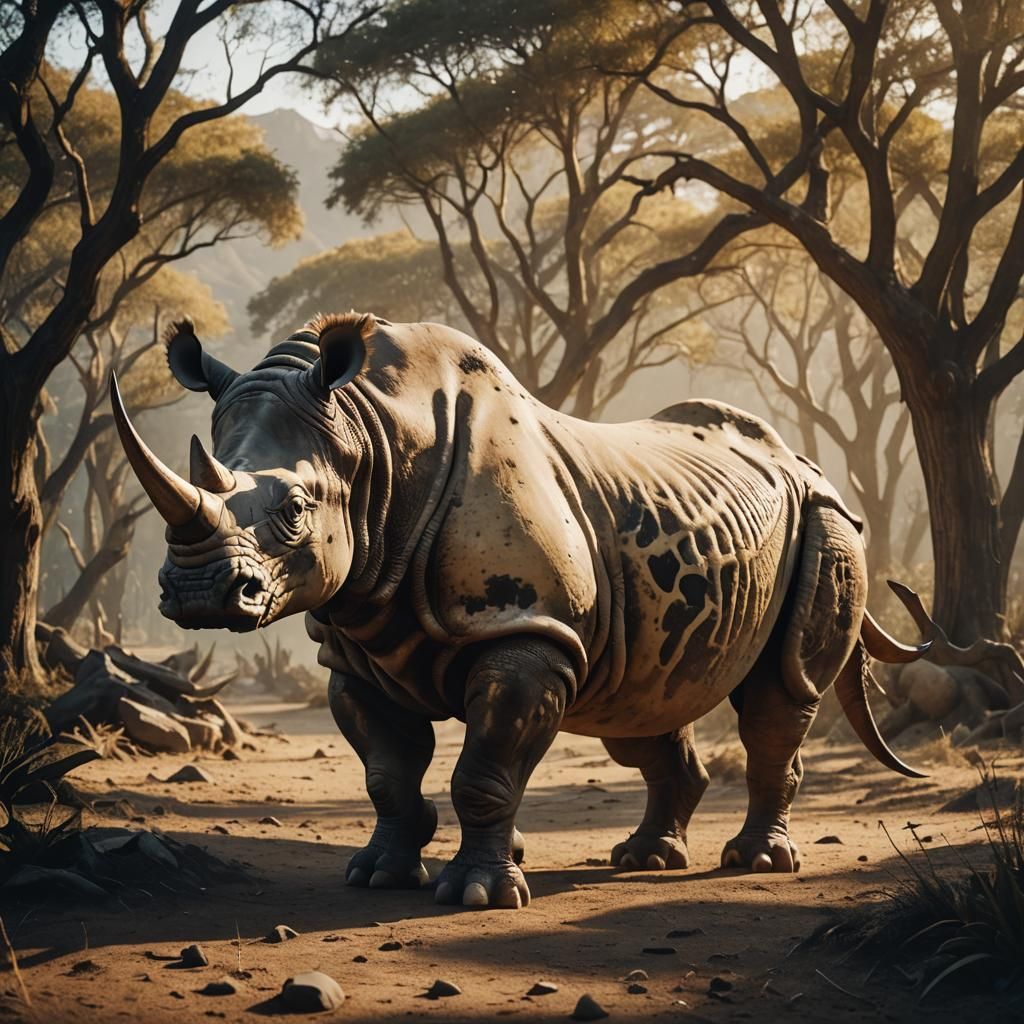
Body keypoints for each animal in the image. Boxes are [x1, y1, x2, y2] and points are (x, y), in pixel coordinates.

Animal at [111, 312, 931, 909]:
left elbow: (484, 768)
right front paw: (378, 875)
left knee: (780, 691)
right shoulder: (355, 641)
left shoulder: (528, 634)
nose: (196, 594)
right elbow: (385, 771)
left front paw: (477, 896)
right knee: (638, 705)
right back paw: (644, 859)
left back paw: (752, 861)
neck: (372, 437)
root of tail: (804, 461)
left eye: (293, 509)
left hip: (825, 521)